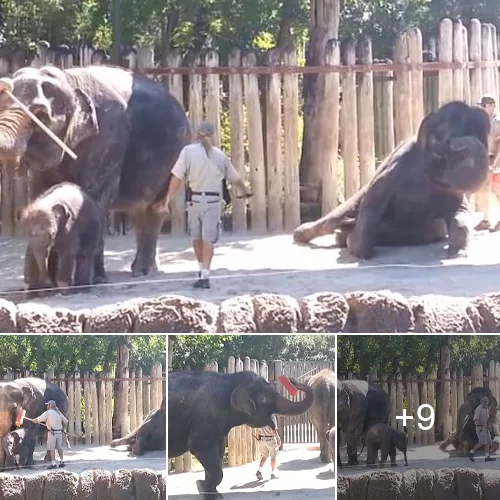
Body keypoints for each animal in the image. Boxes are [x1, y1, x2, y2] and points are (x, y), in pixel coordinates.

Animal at [0, 64, 189, 282]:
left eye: (41, 115)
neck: (69, 79)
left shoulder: (108, 138)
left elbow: (92, 198)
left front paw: (93, 280)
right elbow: (42, 193)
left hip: (175, 157)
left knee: (154, 208)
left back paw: (143, 271)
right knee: (139, 210)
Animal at [170, 370, 314, 498]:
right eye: (265, 399)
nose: (293, 380)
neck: (232, 378)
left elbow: (218, 451)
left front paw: (211, 493)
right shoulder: (205, 415)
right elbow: (199, 446)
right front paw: (201, 487)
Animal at [294, 100, 490, 260]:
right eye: (448, 143)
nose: (459, 144)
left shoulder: (450, 190)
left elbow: (460, 212)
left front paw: (458, 254)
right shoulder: (392, 173)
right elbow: (371, 208)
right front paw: (354, 244)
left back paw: (342, 233)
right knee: (334, 218)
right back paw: (307, 234)